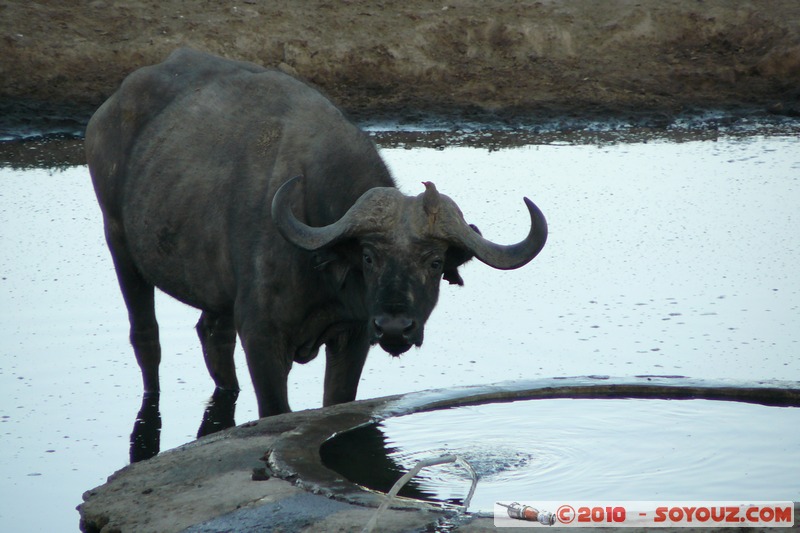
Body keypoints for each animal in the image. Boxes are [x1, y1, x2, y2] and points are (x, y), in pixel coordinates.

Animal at [86, 48, 552, 448]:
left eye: (435, 262)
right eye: (369, 257)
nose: (396, 328)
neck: (321, 267)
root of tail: (110, 108)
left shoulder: (354, 333)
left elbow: (337, 403)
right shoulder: (262, 336)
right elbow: (275, 409)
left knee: (212, 335)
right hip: (118, 241)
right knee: (147, 337)